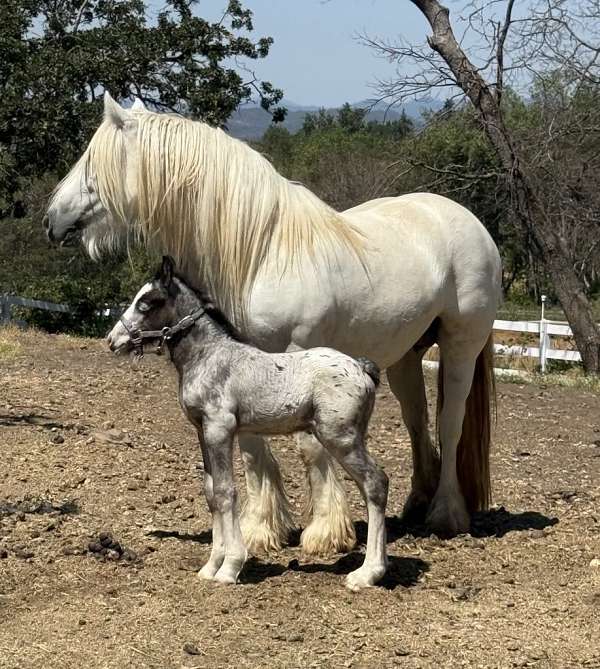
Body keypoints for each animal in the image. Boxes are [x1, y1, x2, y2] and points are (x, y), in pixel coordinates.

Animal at [45, 92, 501, 552]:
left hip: (461, 345)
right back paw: (416, 503)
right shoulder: (244, 367)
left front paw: (325, 532)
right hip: (406, 356)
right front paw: (260, 529)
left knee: (450, 422)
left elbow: (308, 447)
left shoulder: (299, 355)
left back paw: (446, 514)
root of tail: (470, 222)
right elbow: (251, 447)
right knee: (417, 421)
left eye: (91, 162)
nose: (50, 220)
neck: (264, 254)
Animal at [107, 256, 388, 589]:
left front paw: (230, 567)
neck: (210, 357)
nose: (112, 340)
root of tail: (361, 366)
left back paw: (367, 574)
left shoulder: (220, 429)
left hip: (340, 438)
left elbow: (226, 492)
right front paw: (210, 566)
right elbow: (211, 493)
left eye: (147, 303)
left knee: (375, 483)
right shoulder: (203, 432)